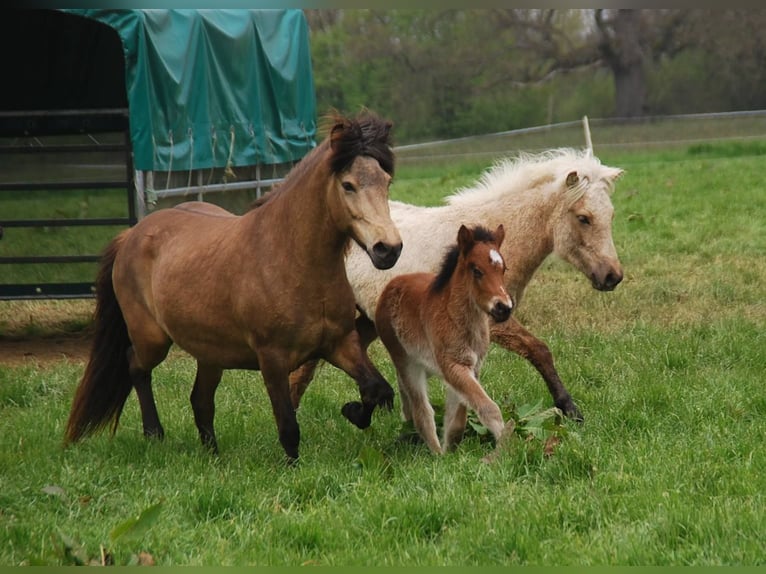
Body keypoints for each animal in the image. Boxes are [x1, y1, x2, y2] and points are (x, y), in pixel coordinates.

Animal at [64, 111, 403, 463]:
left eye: (386, 181)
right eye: (348, 185)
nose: (388, 249)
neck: (290, 259)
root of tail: (131, 234)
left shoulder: (340, 343)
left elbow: (378, 390)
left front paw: (353, 411)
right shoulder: (272, 359)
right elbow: (288, 426)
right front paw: (292, 466)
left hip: (210, 353)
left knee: (200, 400)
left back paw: (212, 455)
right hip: (152, 339)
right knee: (136, 366)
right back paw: (154, 434)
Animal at [289, 148, 624, 423]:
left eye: (611, 215)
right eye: (583, 218)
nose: (613, 276)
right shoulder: (492, 319)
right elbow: (538, 350)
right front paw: (570, 409)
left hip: (368, 316)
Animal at [376, 224, 513, 454]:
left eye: (504, 270)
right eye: (476, 270)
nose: (504, 307)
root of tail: (391, 285)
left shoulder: (472, 367)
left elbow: (457, 418)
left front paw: (452, 452)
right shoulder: (452, 364)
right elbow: (488, 407)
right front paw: (504, 446)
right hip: (405, 361)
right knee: (421, 410)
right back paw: (434, 452)